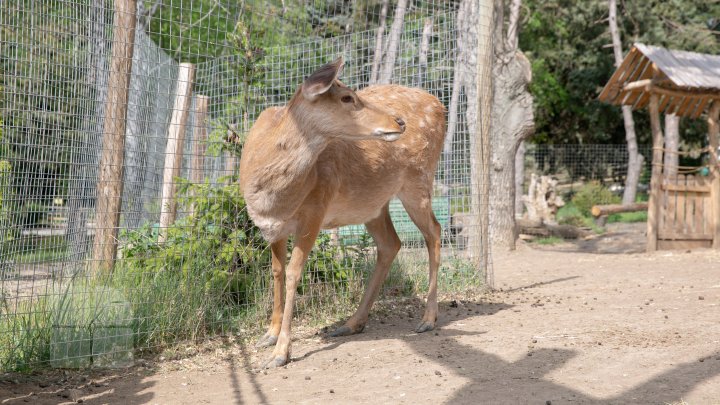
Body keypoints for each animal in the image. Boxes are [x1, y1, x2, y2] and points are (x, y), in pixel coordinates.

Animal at [239, 56, 448, 370]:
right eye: (347, 97)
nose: (399, 121)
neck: (271, 196)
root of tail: (440, 106)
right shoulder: (272, 225)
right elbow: (276, 270)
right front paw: (269, 334)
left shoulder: (315, 209)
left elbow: (294, 272)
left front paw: (280, 353)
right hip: (373, 205)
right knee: (391, 243)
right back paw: (351, 323)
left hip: (418, 181)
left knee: (434, 231)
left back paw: (428, 319)